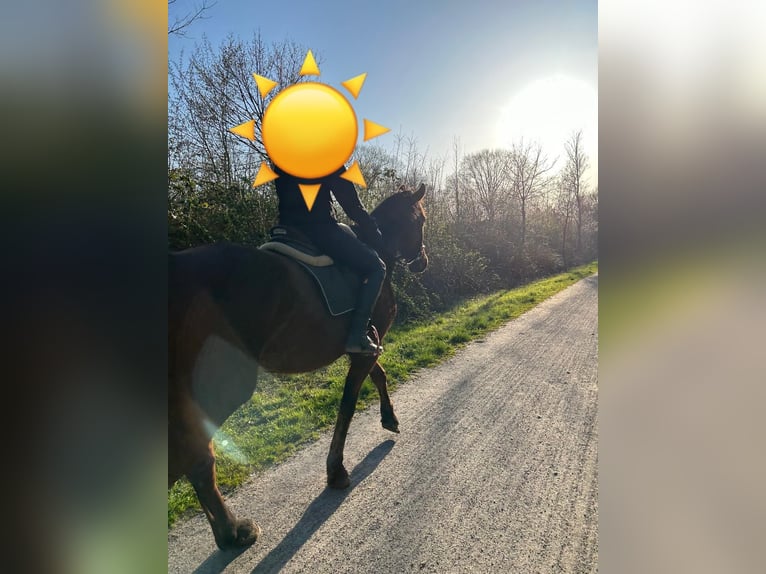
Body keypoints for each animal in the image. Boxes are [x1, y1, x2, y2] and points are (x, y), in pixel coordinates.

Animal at [169, 182, 428, 552]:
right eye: (420, 220)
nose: (422, 261)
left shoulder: (363, 346)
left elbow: (378, 375)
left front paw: (389, 418)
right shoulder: (363, 350)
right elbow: (349, 404)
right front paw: (336, 471)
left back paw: (226, 532)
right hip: (221, 386)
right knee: (196, 457)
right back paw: (234, 531)